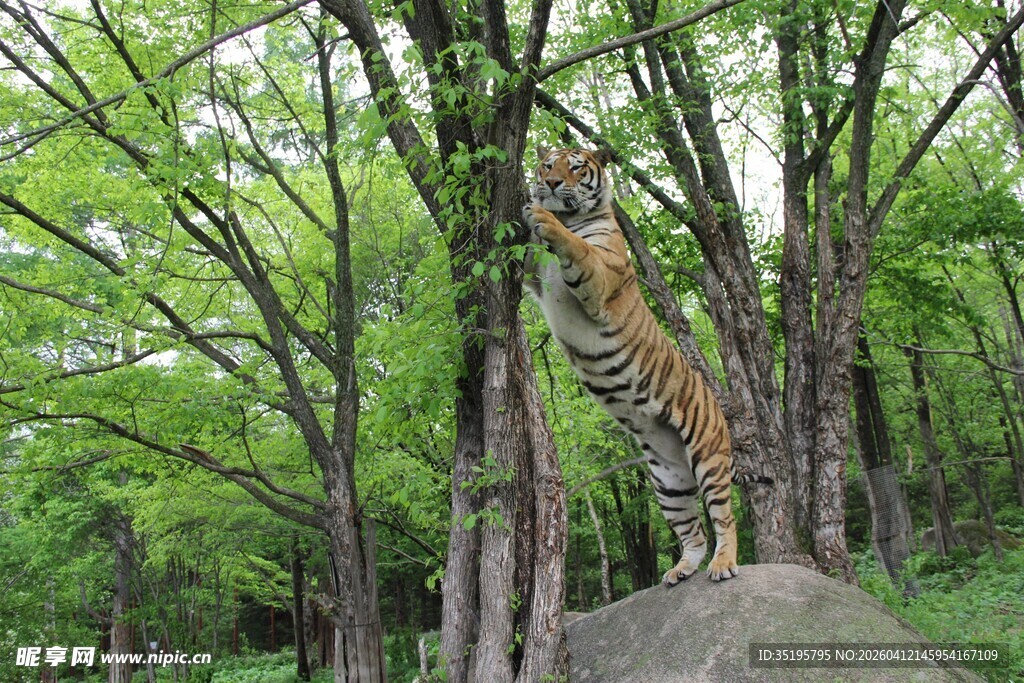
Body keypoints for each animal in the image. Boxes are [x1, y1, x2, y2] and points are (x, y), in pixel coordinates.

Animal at [521, 147, 768, 584]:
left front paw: (541, 215)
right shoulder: (536, 274)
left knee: (725, 518)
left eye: (576, 166)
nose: (549, 183)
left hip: (708, 458)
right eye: (547, 164)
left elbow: (575, 245)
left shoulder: (601, 274)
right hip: (668, 483)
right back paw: (681, 571)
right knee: (693, 533)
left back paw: (724, 564)